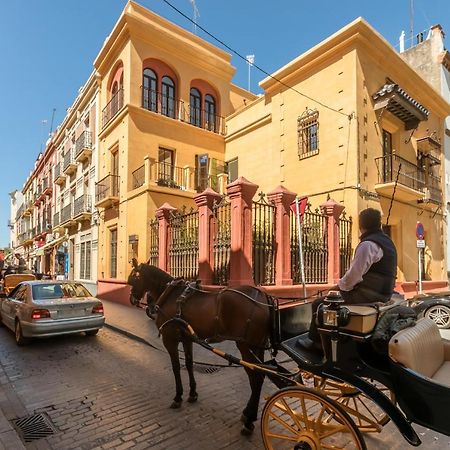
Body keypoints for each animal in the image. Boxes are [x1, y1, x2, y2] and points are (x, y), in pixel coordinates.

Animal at [128, 260, 272, 436]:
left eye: (134, 278)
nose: (132, 298)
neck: (169, 294)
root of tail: (263, 297)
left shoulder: (170, 339)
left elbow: (176, 367)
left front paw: (178, 397)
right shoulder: (187, 338)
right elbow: (189, 364)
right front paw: (192, 394)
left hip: (245, 346)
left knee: (255, 378)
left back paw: (249, 420)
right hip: (257, 347)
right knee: (260, 376)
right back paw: (248, 415)